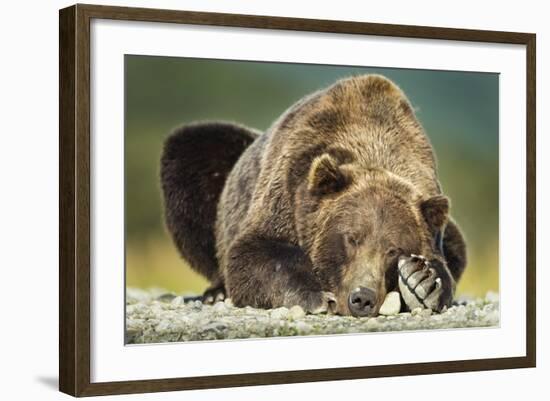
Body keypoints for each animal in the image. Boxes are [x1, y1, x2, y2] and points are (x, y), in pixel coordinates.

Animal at [162, 73, 468, 314]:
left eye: (394, 250)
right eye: (351, 238)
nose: (362, 298)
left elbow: (443, 262)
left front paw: (422, 281)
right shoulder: (289, 187)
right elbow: (253, 252)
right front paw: (316, 296)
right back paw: (215, 293)